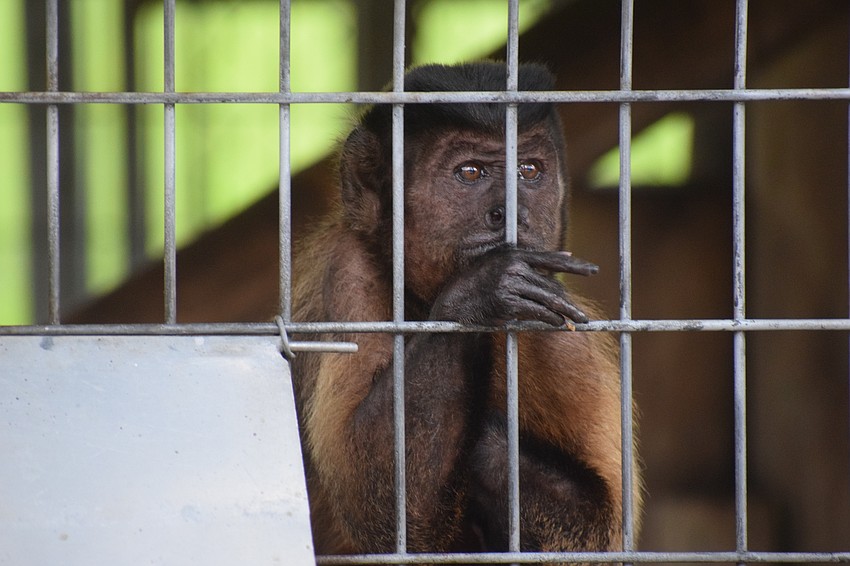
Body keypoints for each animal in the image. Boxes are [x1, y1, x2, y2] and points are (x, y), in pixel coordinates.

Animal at [290, 61, 638, 561]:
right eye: (470, 172)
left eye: (529, 170)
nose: (512, 213)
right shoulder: (347, 272)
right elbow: (373, 501)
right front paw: (481, 293)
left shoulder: (563, 340)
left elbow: (603, 529)